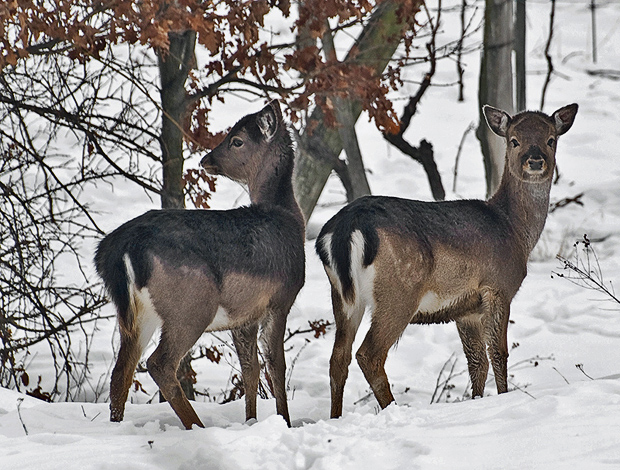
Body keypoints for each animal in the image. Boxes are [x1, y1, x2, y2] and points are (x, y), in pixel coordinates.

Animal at [93, 102, 304, 430]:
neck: (288, 217)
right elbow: (275, 366)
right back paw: (197, 426)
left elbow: (250, 369)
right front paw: (284, 421)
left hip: (138, 313)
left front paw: (252, 421)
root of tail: (117, 249)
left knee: (121, 371)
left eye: (236, 140)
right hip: (191, 304)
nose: (207, 159)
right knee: (159, 363)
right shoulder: (281, 299)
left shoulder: (244, 316)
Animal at [318, 103, 580, 418]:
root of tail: (345, 228)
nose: (536, 161)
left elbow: (477, 361)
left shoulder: (465, 309)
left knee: (338, 359)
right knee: (368, 354)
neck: (514, 230)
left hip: (343, 297)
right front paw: (503, 398)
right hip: (398, 291)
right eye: (514, 140)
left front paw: (477, 401)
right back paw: (394, 408)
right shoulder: (498, 286)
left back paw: (335, 418)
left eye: (551, 139)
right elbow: (499, 353)